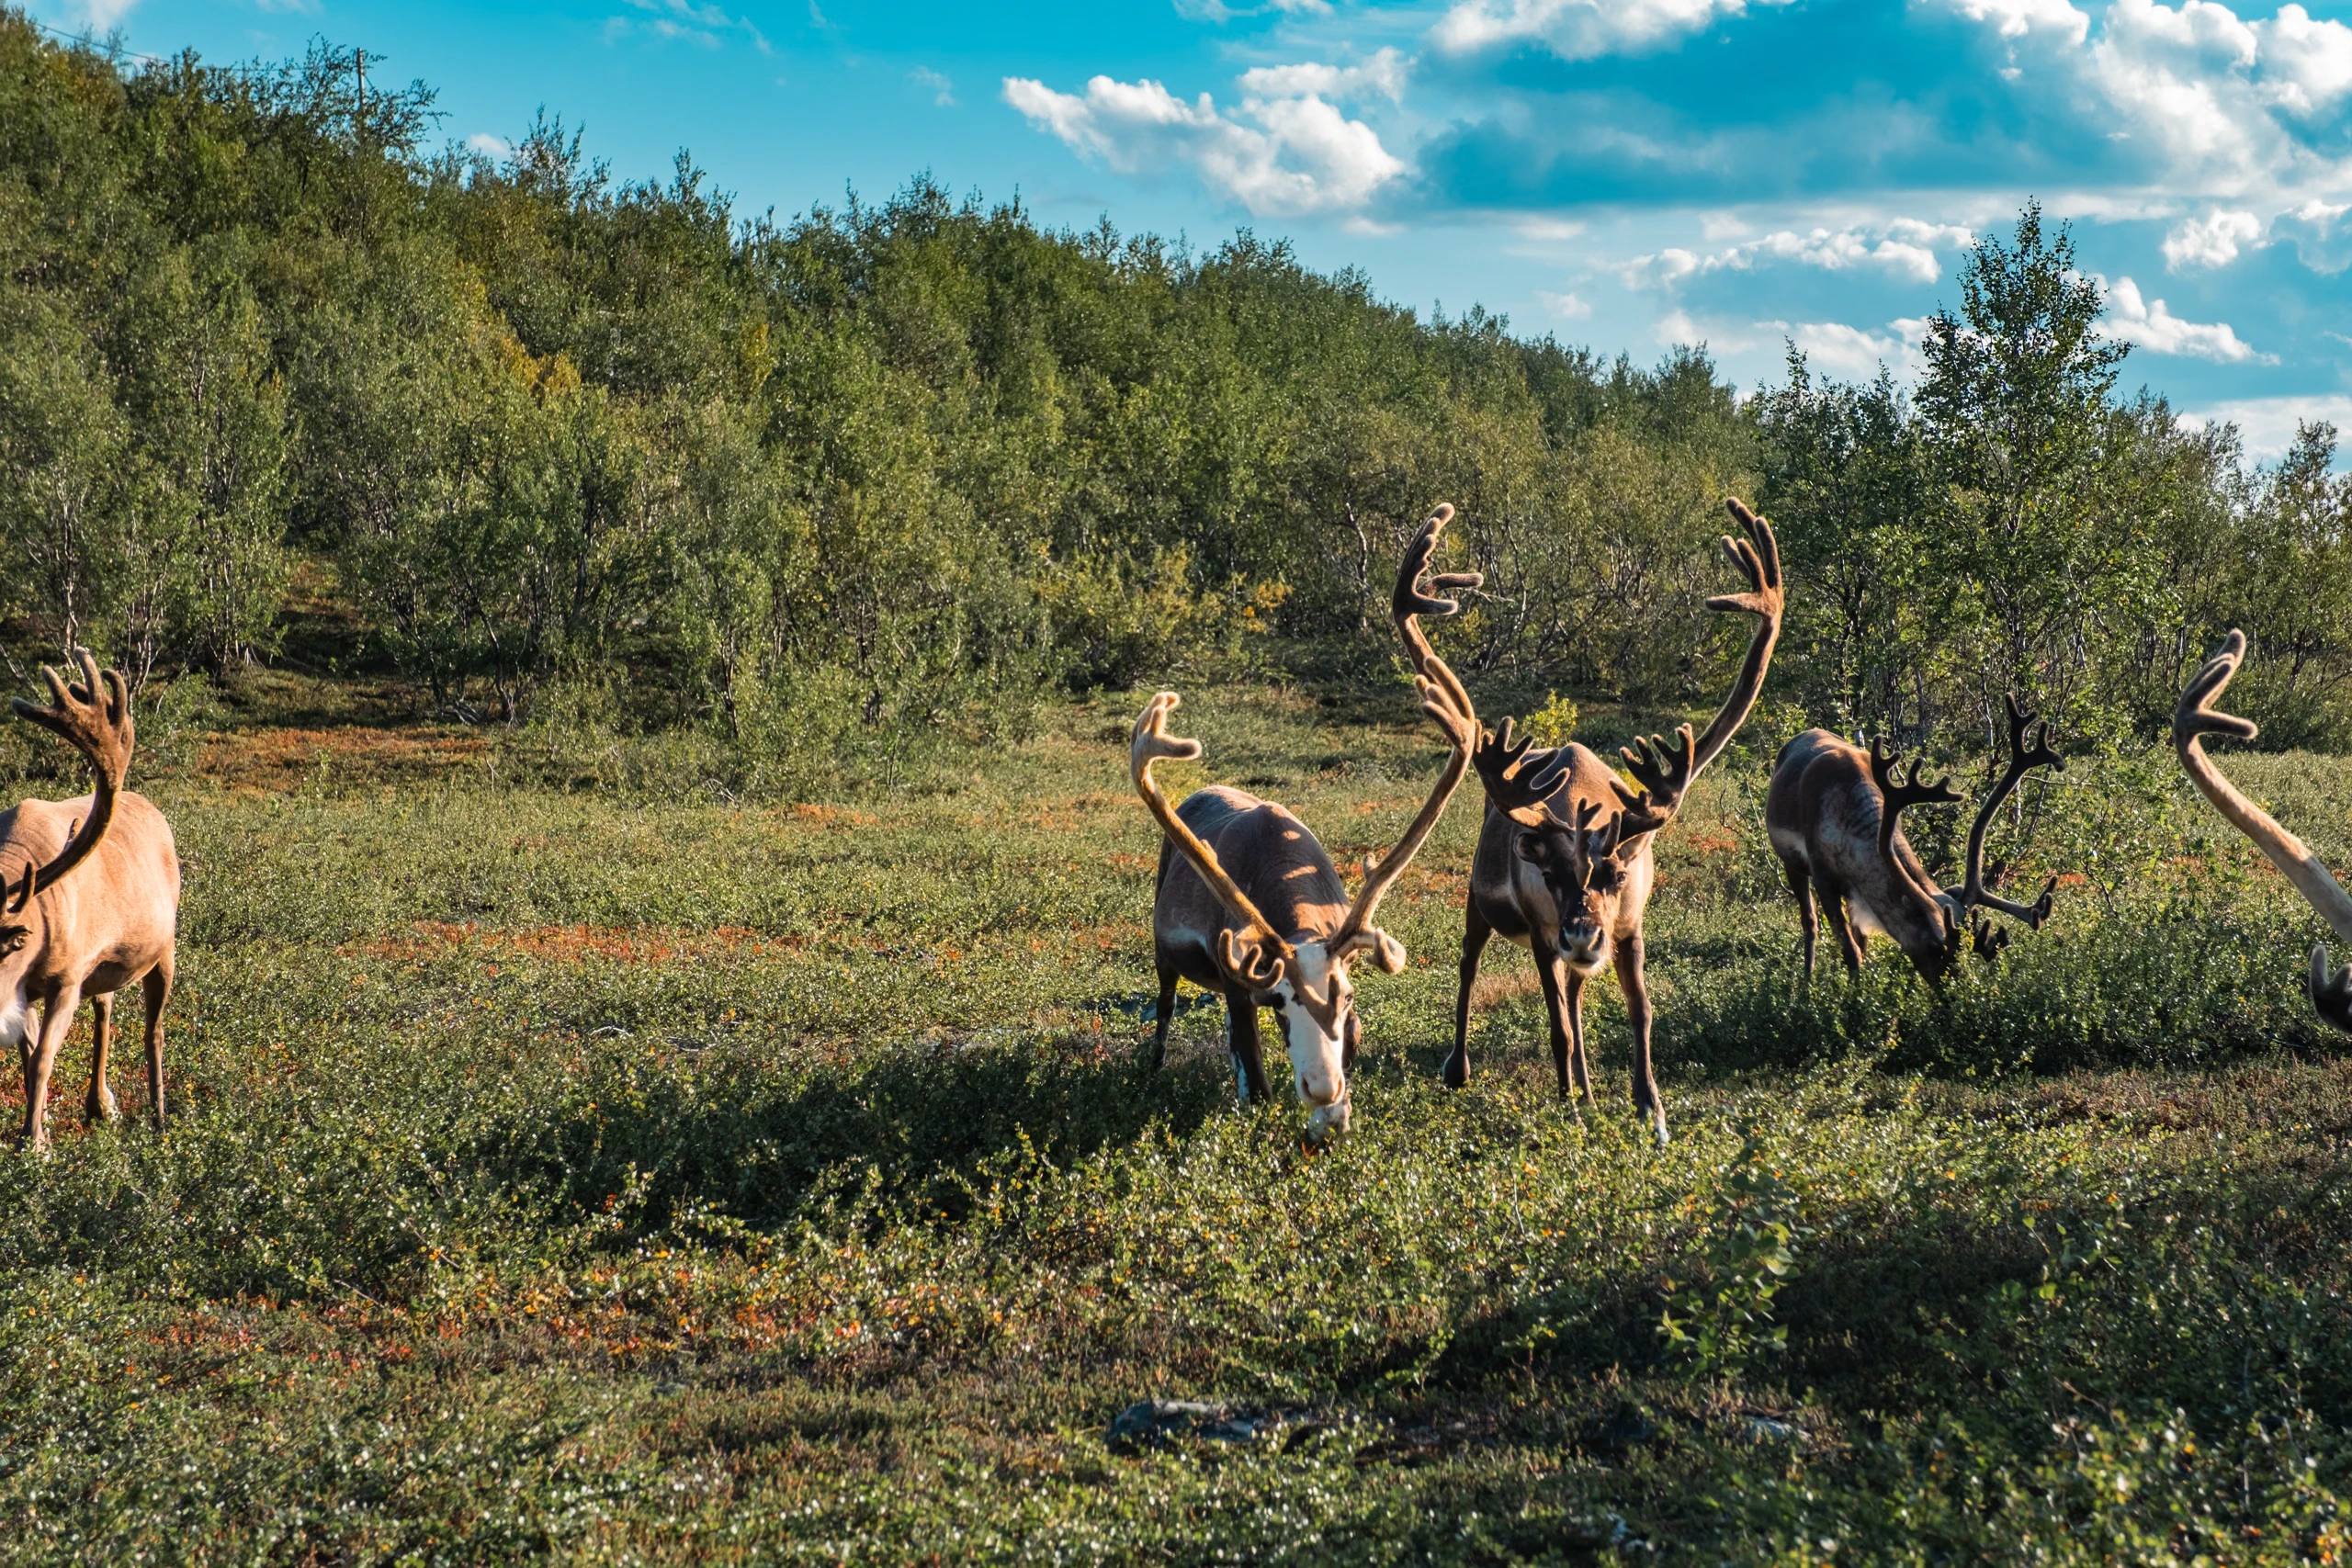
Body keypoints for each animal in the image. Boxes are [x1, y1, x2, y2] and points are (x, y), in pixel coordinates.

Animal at [0, 652, 180, 1151]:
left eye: (8, 946)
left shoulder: (66, 978)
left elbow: (43, 1057)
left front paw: (33, 1143)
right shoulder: (31, 990)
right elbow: (29, 1056)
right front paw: (37, 1131)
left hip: (165, 949)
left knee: (154, 1030)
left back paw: (159, 1117)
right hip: (102, 970)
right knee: (105, 1009)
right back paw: (99, 1103)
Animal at [1133, 651, 1478, 1144]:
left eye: (1348, 996)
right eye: (1280, 1001)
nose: (1321, 1087)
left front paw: (1332, 1117)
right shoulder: (1239, 981)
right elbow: (1258, 1085)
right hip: (1165, 950)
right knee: (1166, 1003)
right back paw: (1155, 1065)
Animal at [1394, 498, 1783, 1146]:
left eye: (1618, 876)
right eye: (1550, 876)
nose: (1581, 934)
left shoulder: (1629, 928)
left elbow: (1641, 1012)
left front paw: (1650, 1110)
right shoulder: (1540, 935)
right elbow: (1555, 1025)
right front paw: (1568, 1110)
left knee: (1577, 996)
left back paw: (1590, 1090)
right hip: (1481, 904)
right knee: (1471, 965)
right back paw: (1463, 1068)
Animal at [1765, 693, 2064, 983]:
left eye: (1966, 949)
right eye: (1935, 947)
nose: (1952, 991)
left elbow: (1860, 944)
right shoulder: (1822, 876)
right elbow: (1850, 951)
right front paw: (1852, 995)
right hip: (1790, 862)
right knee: (1810, 922)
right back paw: (1807, 982)